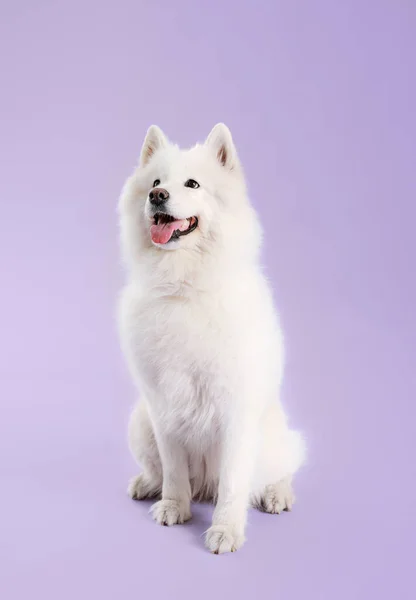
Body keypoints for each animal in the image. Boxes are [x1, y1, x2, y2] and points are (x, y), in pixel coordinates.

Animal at [117, 124, 306, 556]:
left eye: (192, 184)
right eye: (156, 183)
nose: (157, 197)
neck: (183, 286)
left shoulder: (236, 412)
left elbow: (234, 484)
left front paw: (225, 532)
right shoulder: (162, 407)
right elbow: (173, 471)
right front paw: (174, 507)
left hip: (272, 431)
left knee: (282, 467)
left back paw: (277, 495)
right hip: (140, 422)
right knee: (164, 472)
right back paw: (147, 485)